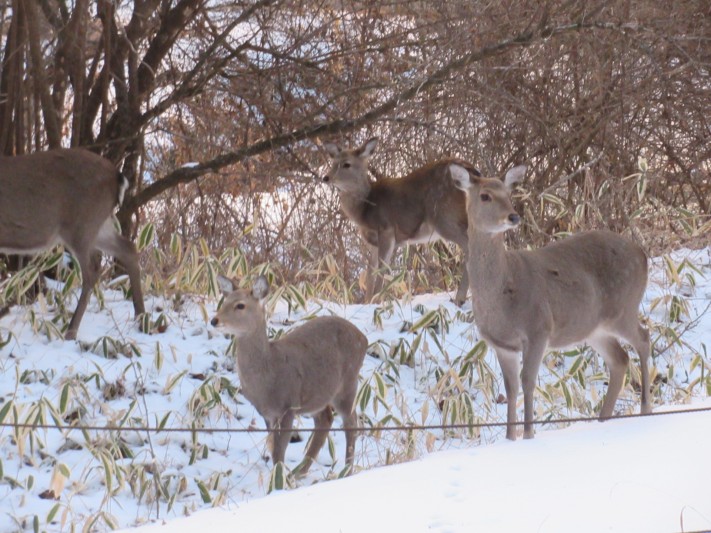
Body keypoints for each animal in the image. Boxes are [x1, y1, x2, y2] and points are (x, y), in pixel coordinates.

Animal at [0, 148, 145, 340]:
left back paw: (71, 331)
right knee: (128, 249)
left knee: (91, 272)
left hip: (80, 224)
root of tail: (117, 176)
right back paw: (141, 318)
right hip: (98, 224)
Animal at [211, 275, 368, 475]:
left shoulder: (288, 406)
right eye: (224, 301)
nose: (214, 320)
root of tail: (364, 338)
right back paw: (299, 472)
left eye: (240, 305)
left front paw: (278, 479)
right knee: (326, 419)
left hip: (348, 383)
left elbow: (279, 450)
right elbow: (273, 448)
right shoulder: (267, 413)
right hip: (318, 394)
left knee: (351, 422)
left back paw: (346, 469)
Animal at [322, 137, 477, 305]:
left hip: (445, 217)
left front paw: (377, 300)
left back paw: (460, 298)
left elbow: (382, 269)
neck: (365, 209)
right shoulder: (373, 242)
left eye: (346, 164)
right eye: (333, 162)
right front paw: (368, 301)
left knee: (469, 247)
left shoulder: (386, 229)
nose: (326, 178)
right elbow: (370, 271)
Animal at [449, 163, 652, 440]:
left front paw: (528, 435)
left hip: (624, 308)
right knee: (619, 358)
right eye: (485, 195)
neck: (502, 293)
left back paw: (645, 408)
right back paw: (603, 419)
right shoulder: (502, 345)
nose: (513, 217)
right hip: (593, 328)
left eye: (509, 193)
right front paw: (510, 439)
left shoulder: (539, 329)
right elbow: (511, 388)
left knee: (644, 338)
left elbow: (527, 381)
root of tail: (642, 254)